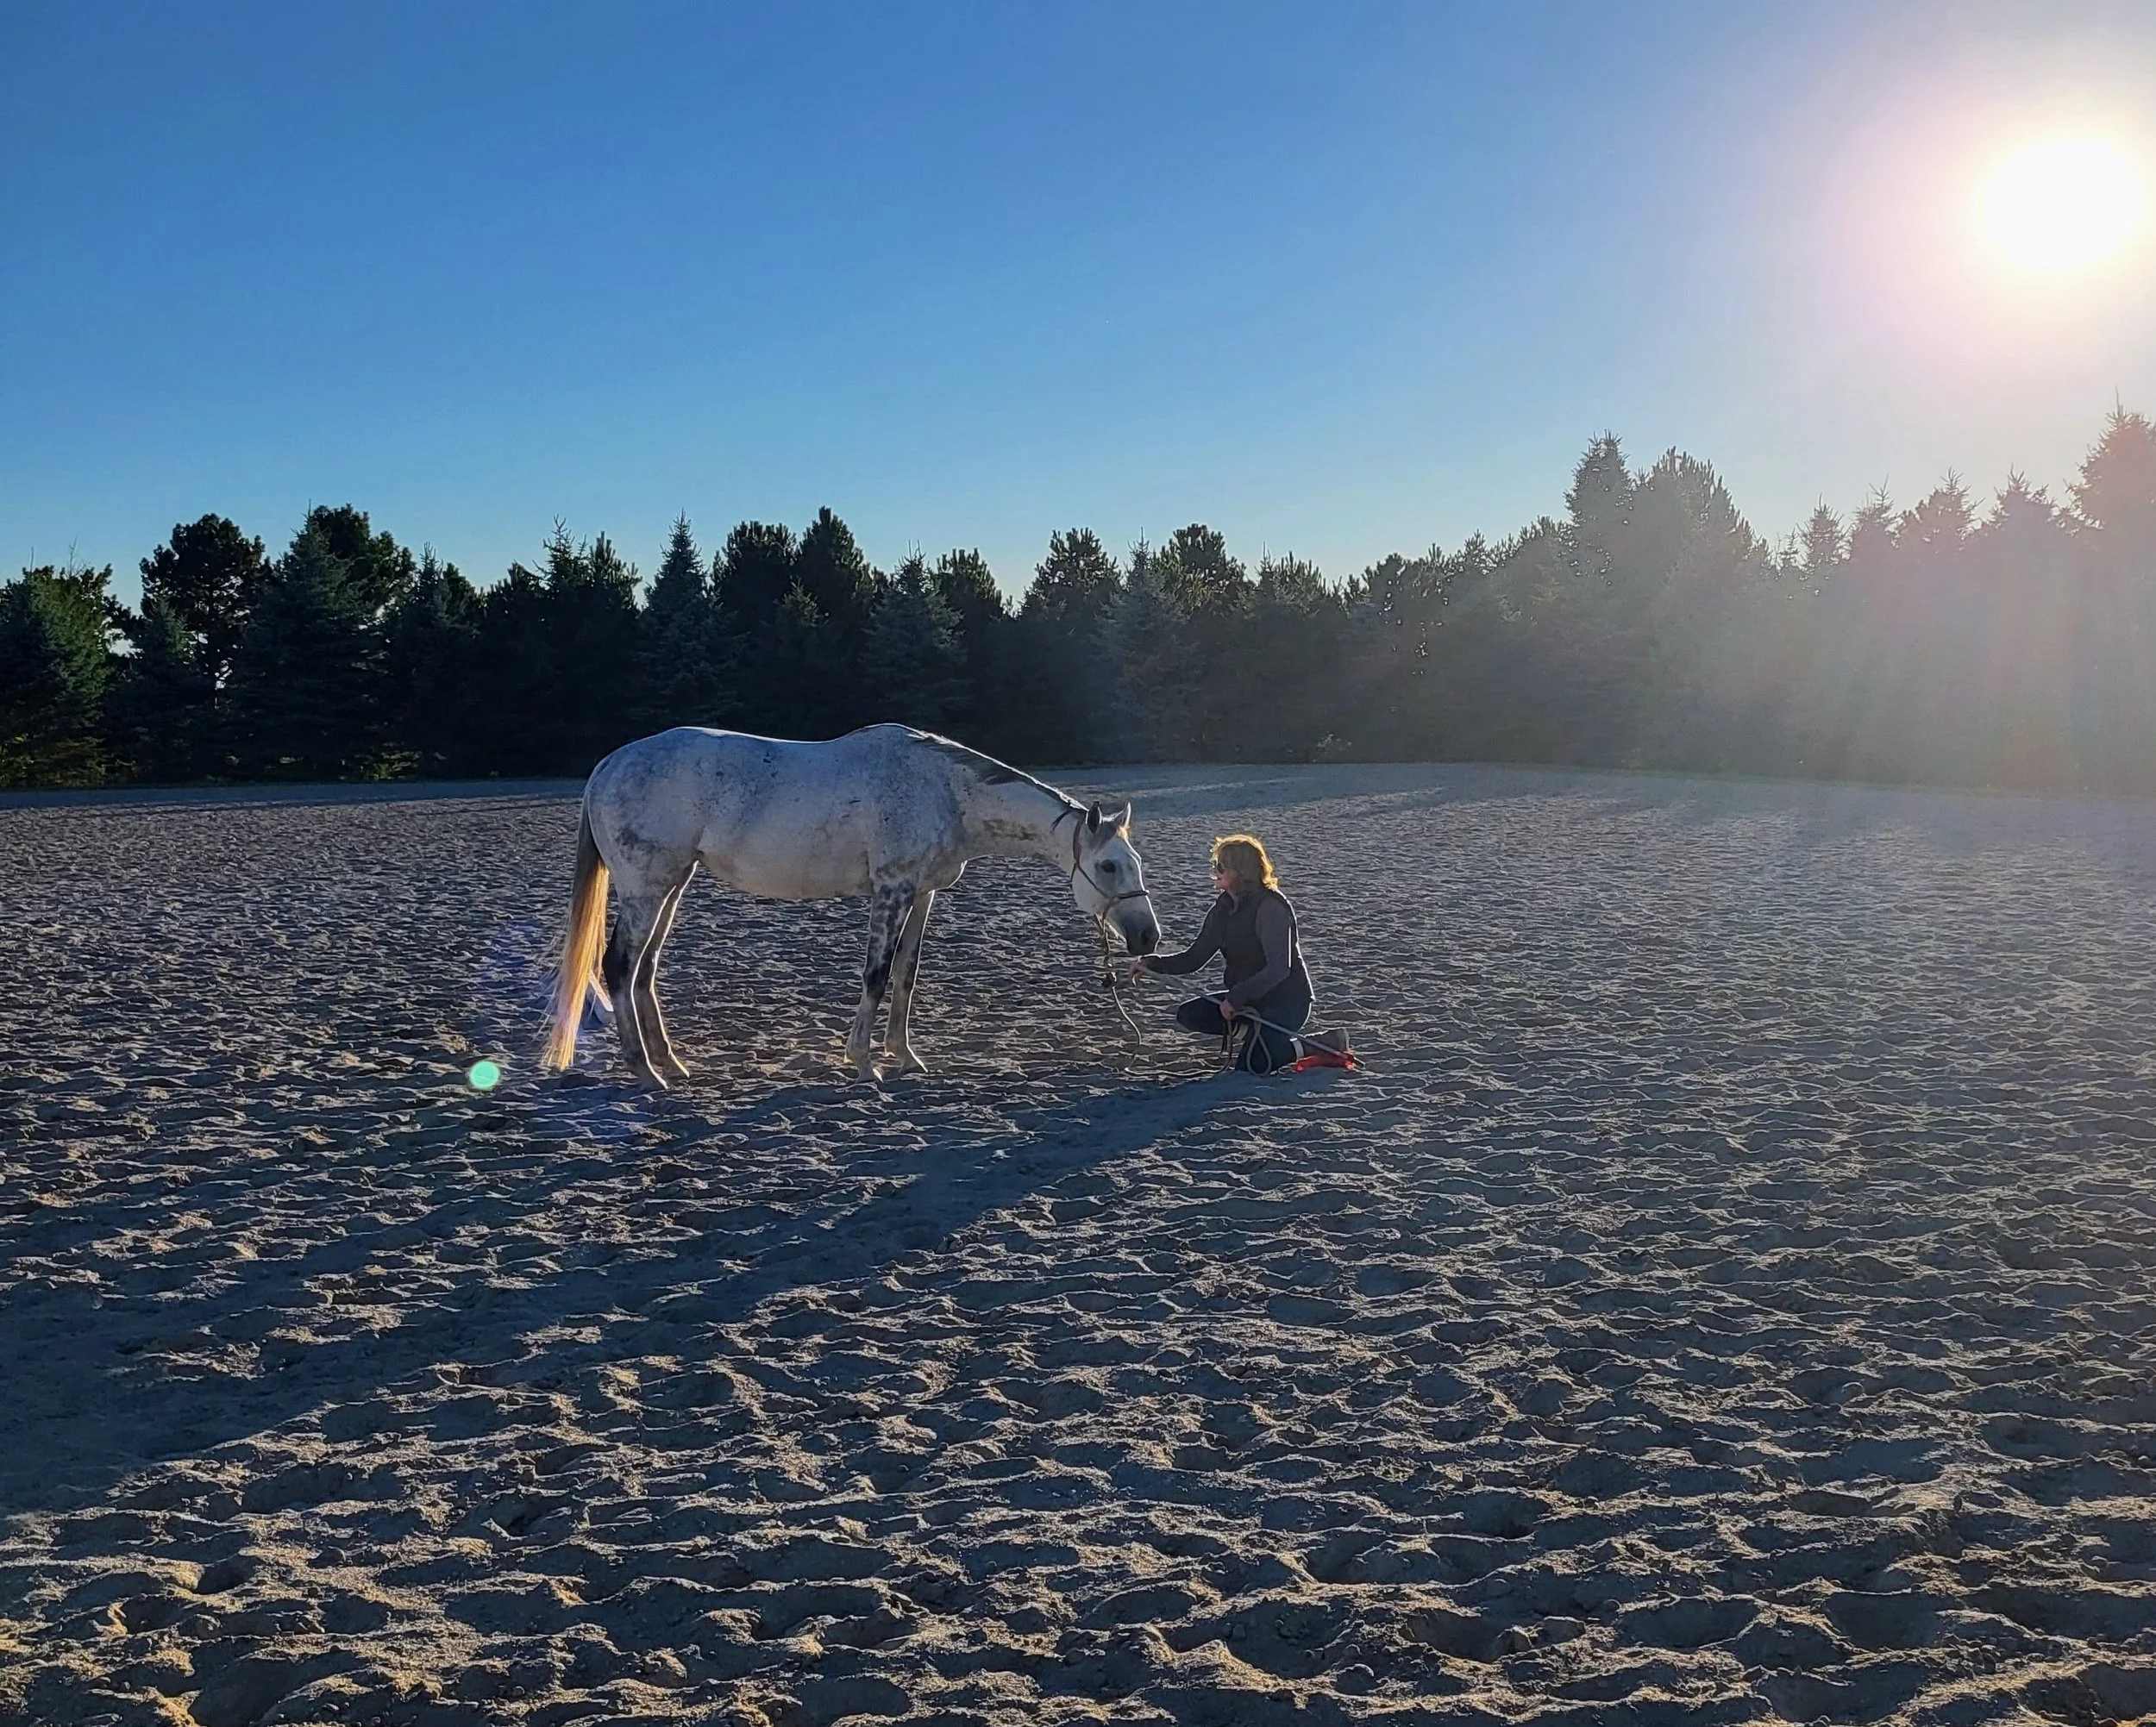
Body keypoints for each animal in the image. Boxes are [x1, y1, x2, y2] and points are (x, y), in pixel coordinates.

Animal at [541, 723, 1162, 1086]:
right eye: (1110, 866)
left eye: (1135, 862)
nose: (1148, 937)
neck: (945, 791)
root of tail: (607, 766)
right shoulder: (892, 890)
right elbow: (876, 974)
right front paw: (864, 1061)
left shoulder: (922, 893)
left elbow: (907, 974)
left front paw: (905, 1055)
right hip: (647, 889)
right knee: (620, 966)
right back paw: (647, 1073)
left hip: (671, 885)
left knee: (644, 971)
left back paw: (671, 1063)